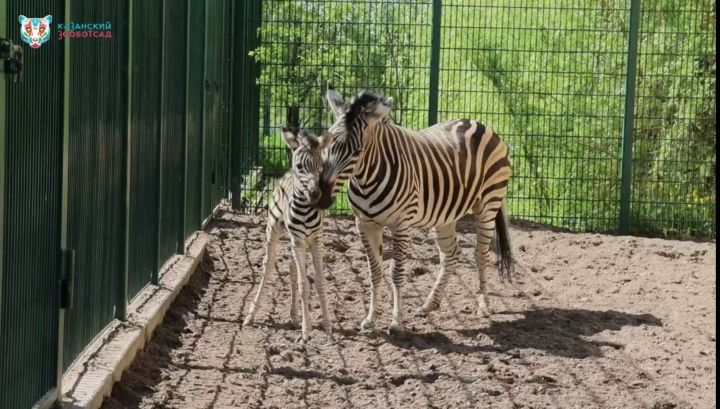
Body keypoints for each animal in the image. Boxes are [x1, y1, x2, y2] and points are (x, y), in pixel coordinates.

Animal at [242, 127, 332, 342]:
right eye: (300, 166)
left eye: (321, 166)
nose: (316, 195)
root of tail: (285, 174)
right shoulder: (298, 241)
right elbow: (303, 284)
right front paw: (306, 330)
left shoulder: (315, 241)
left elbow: (319, 281)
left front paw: (327, 326)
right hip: (274, 231)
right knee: (267, 267)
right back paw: (251, 315)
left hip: (298, 242)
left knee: (291, 267)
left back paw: (293, 315)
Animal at [318, 90, 516, 334]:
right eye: (326, 145)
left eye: (357, 151)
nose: (322, 196)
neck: (366, 178)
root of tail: (477, 122)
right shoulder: (364, 224)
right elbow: (375, 272)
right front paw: (371, 319)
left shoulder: (402, 225)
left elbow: (396, 272)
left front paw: (396, 321)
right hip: (446, 215)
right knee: (451, 254)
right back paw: (430, 304)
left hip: (488, 204)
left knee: (481, 254)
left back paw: (483, 305)